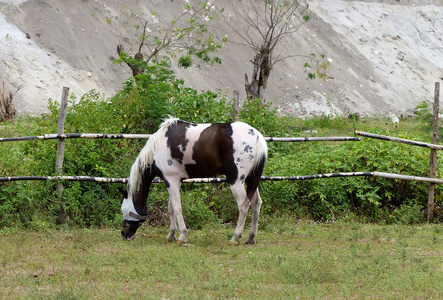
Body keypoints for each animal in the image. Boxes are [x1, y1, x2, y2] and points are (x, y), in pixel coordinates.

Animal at [119, 116, 268, 245]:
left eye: (124, 210)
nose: (125, 234)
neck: (158, 146)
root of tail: (257, 136)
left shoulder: (171, 180)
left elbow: (177, 207)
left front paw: (182, 236)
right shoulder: (173, 181)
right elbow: (171, 208)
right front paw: (171, 235)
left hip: (236, 181)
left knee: (244, 205)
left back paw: (235, 237)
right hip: (251, 179)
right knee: (256, 203)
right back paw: (250, 238)